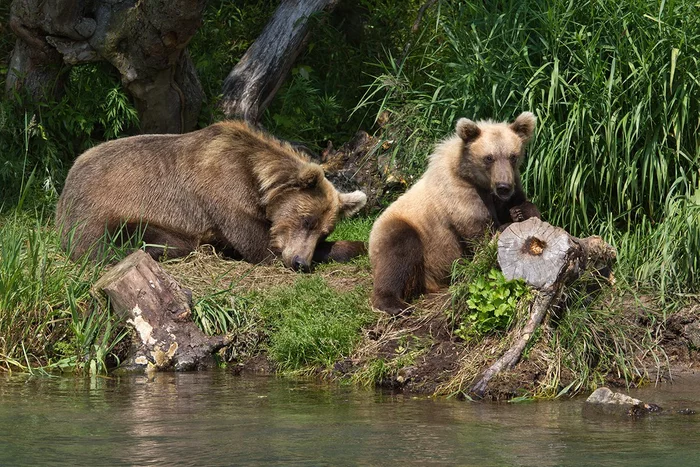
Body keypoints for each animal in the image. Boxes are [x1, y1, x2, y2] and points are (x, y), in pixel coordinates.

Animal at [56, 119, 366, 270]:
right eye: (306, 220)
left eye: (323, 231)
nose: (301, 262)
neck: (256, 180)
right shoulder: (224, 191)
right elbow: (260, 246)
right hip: (100, 211)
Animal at [372, 112, 540, 316]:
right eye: (489, 158)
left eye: (513, 156)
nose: (503, 187)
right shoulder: (461, 197)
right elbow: (480, 235)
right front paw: (506, 225)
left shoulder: (508, 192)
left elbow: (524, 206)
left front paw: (520, 212)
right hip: (406, 230)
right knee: (396, 255)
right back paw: (394, 304)